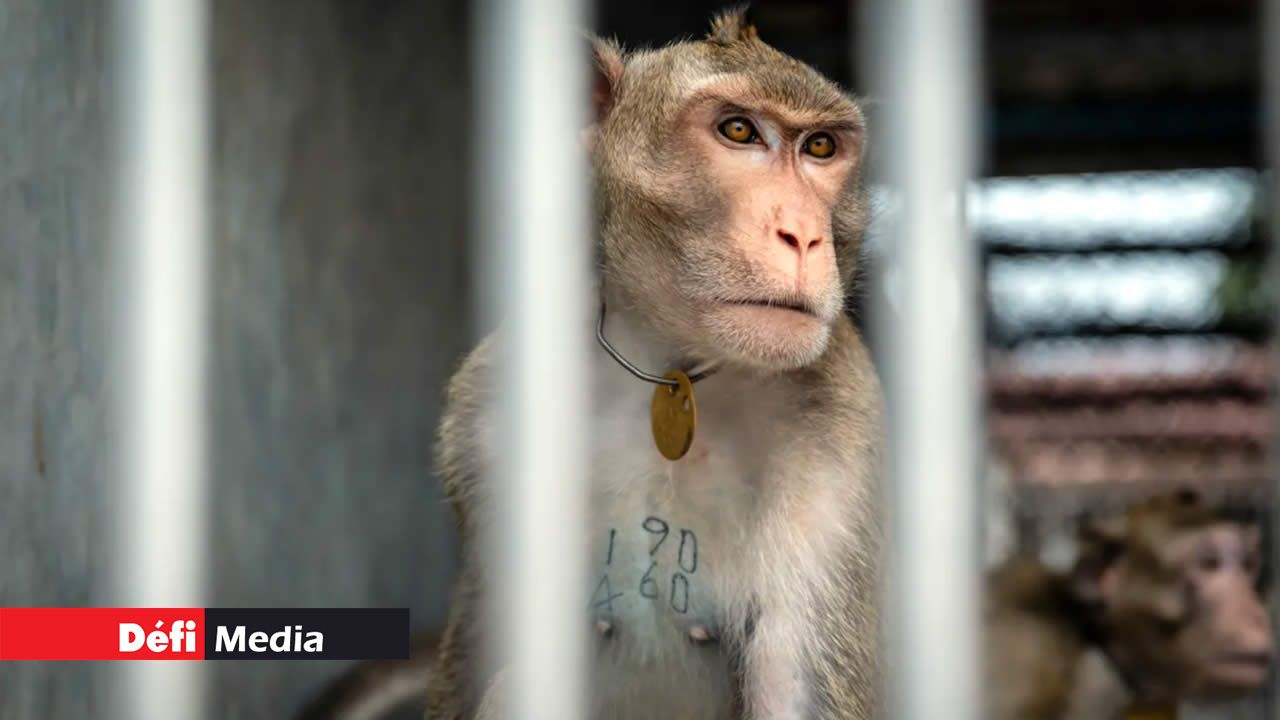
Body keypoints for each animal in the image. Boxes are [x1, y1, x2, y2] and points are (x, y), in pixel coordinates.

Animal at [425, 7, 883, 720]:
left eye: (820, 148)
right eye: (739, 130)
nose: (804, 235)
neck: (673, 372)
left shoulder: (839, 438)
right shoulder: (484, 421)